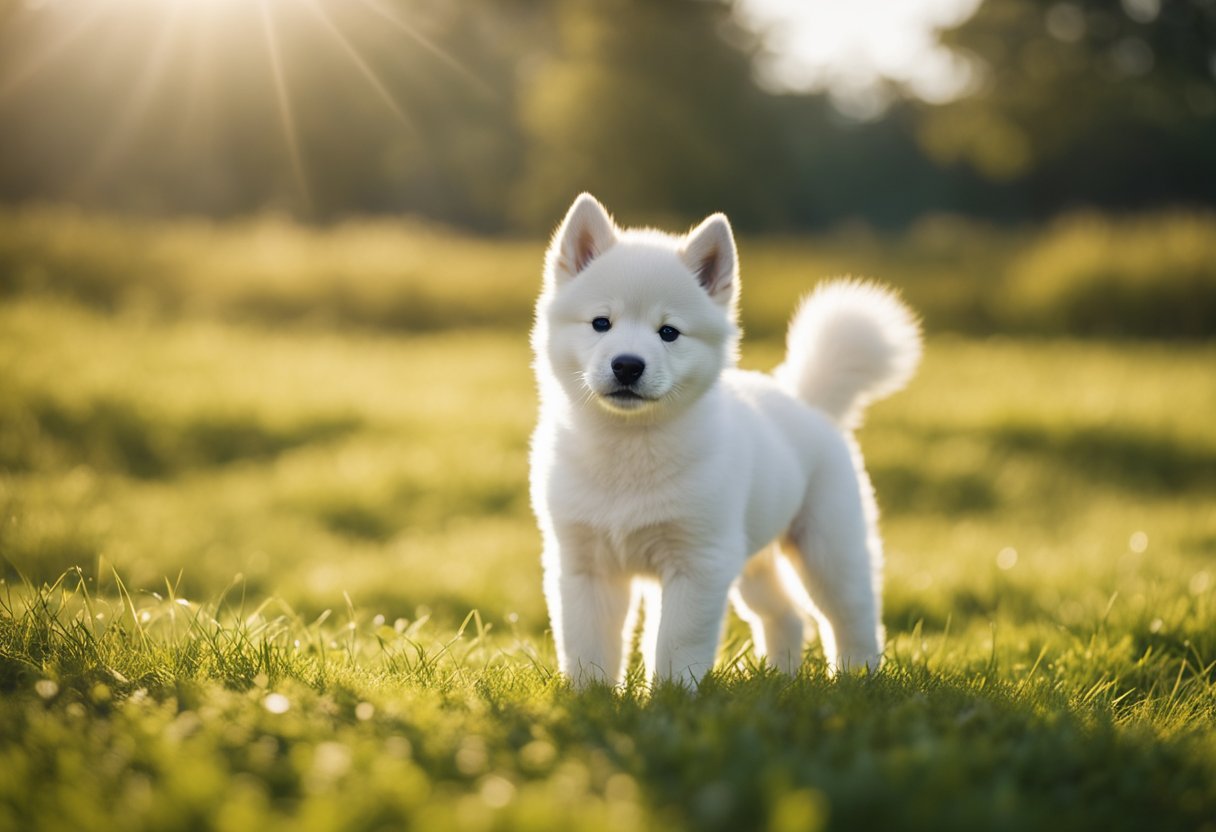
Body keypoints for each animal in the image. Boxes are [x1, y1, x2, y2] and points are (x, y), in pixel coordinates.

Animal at [527, 194, 914, 690]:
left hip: (827, 548)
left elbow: (675, 645)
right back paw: (781, 678)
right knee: (787, 615)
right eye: (601, 323)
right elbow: (588, 647)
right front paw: (590, 698)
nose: (628, 365)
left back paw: (857, 678)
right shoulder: (585, 564)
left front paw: (671, 699)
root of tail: (808, 401)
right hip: (751, 561)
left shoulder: (699, 562)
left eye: (668, 332)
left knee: (851, 616)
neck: (628, 448)